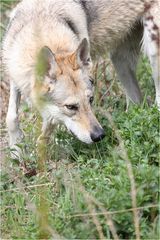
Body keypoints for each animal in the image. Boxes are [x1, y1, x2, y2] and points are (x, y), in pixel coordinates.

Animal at [2, 0, 160, 154]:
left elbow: (46, 131)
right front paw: (16, 149)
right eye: (71, 107)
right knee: (136, 103)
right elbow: (11, 118)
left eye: (90, 100)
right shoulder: (15, 77)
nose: (99, 135)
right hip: (119, 61)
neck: (41, 23)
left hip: (153, 54)